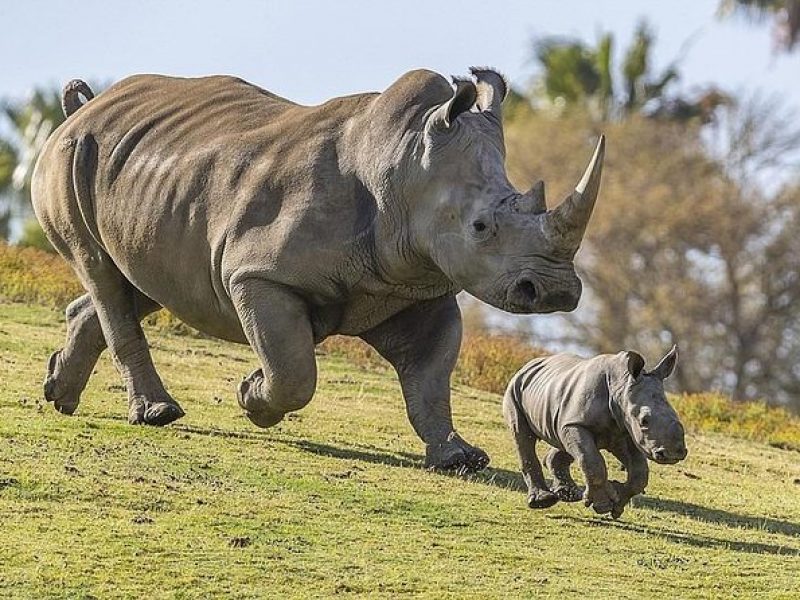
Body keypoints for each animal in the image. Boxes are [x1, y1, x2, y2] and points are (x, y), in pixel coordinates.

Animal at [506, 344, 688, 516]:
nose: (673, 453)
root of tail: (529, 364)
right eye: (644, 421)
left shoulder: (624, 430)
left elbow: (639, 472)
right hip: (515, 389)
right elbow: (592, 462)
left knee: (564, 440)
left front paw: (617, 503)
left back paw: (569, 495)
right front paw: (603, 505)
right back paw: (543, 501)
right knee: (523, 435)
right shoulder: (578, 423)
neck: (620, 385)